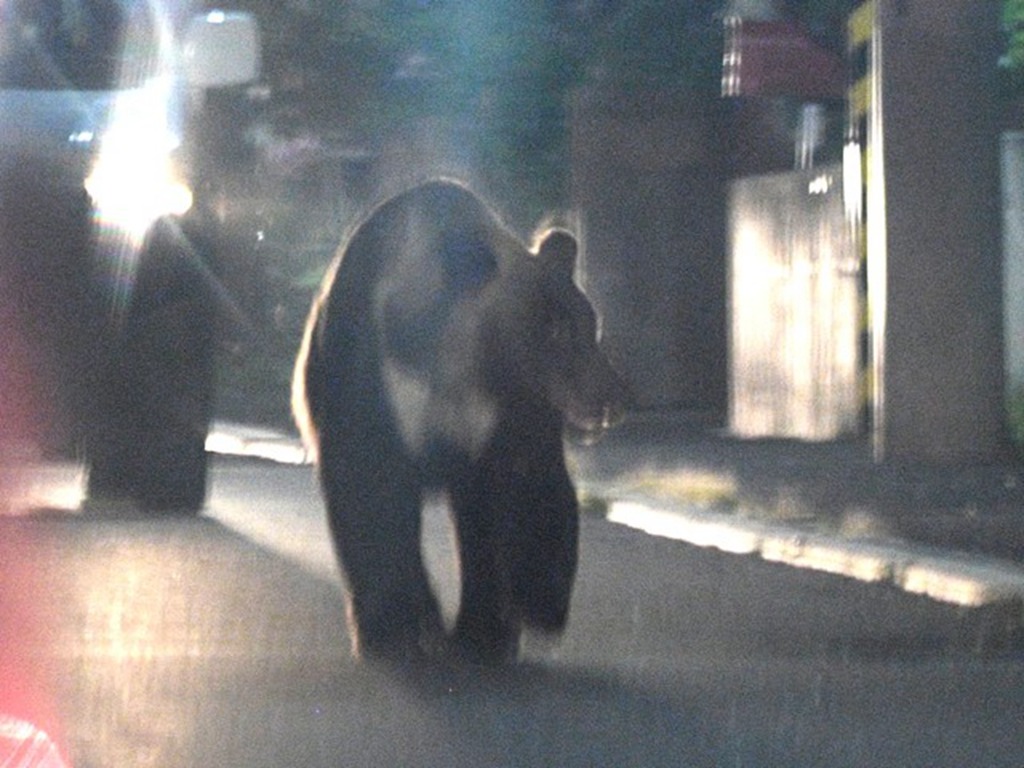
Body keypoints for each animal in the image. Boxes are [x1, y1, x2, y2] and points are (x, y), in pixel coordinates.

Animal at [288, 177, 622, 663]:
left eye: (589, 323)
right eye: (557, 330)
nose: (611, 396)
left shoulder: (509, 414)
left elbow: (523, 490)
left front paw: (522, 612)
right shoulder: (375, 380)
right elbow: (371, 487)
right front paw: (392, 629)